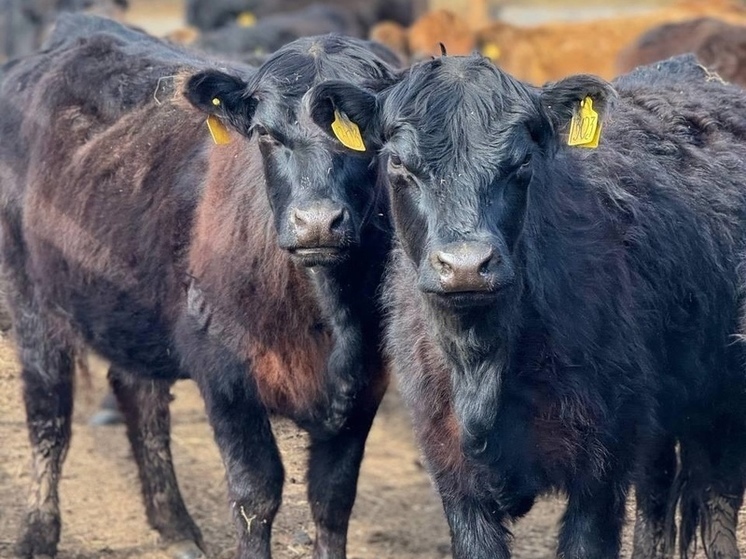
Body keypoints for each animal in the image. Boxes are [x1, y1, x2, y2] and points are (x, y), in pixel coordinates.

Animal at [0, 13, 398, 559]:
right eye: (264, 133)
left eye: (364, 137)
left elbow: (333, 501)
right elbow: (256, 495)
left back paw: (176, 525)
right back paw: (38, 532)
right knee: (49, 416)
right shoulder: (226, 375)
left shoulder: (367, 384)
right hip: (32, 300)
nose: (317, 223)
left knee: (141, 401)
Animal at [308, 53, 746, 559]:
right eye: (398, 163)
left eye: (521, 162)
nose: (465, 265)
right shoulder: (453, 473)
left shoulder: (602, 468)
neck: (483, 365)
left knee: (717, 502)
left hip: (722, 403)